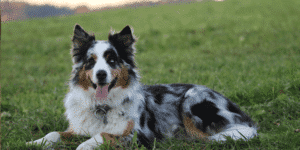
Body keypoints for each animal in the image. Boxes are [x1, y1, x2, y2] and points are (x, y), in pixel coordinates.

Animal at [27, 24, 258, 149]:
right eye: (91, 61)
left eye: (112, 60)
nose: (101, 74)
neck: (102, 106)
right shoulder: (80, 128)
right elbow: (54, 134)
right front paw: (34, 143)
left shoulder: (139, 136)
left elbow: (102, 136)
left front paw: (83, 146)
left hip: (192, 99)